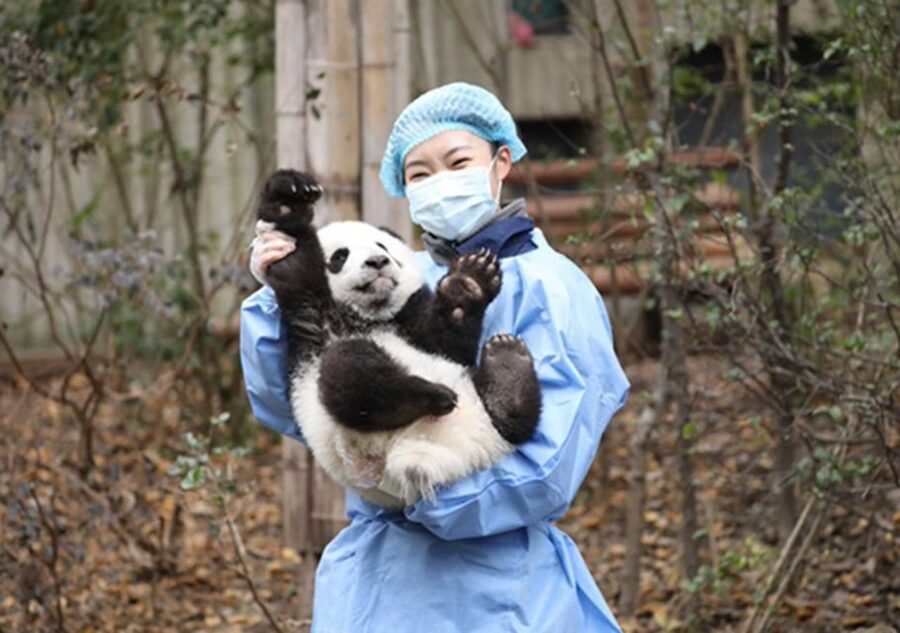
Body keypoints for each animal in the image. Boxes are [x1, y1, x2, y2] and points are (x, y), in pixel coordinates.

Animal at [258, 169, 541, 507]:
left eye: (383, 246)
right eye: (340, 256)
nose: (378, 262)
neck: (365, 316)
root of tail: (422, 454)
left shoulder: (410, 321)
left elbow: (447, 342)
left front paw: (469, 283)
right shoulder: (311, 312)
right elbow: (293, 255)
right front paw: (290, 194)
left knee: (513, 424)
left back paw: (507, 368)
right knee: (352, 376)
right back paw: (435, 393)